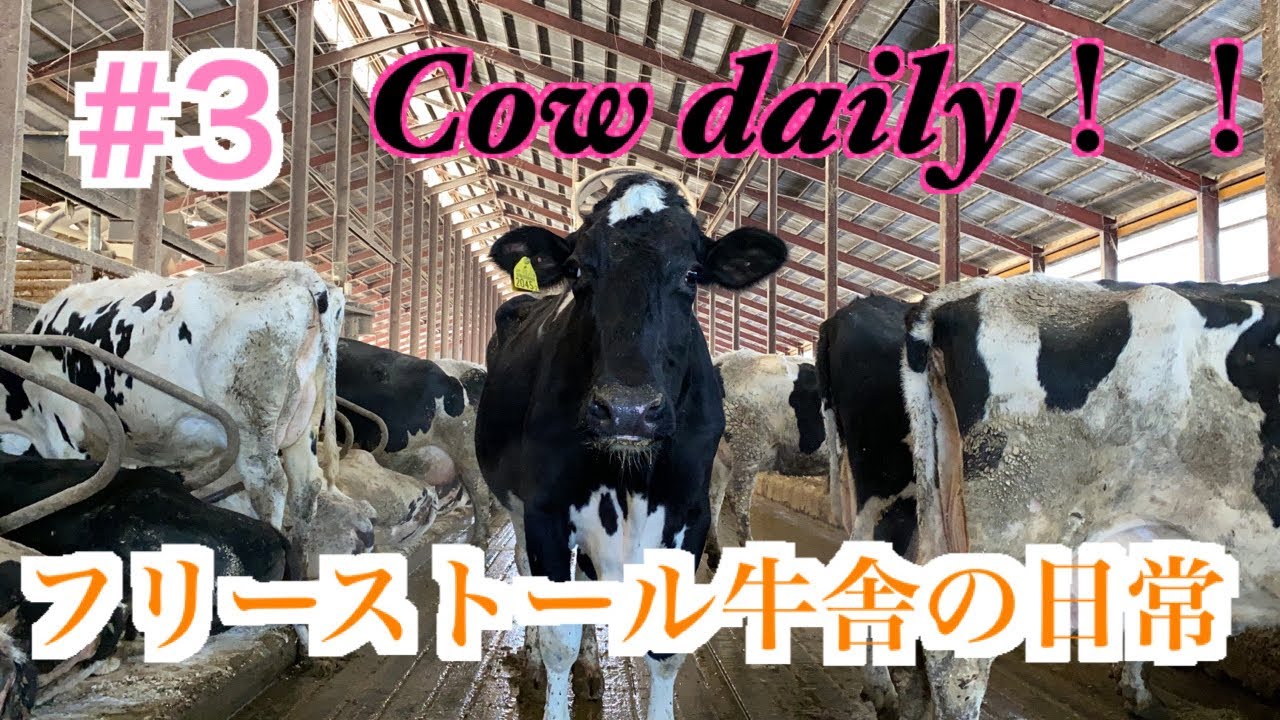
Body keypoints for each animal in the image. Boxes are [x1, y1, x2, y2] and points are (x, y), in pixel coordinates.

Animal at [0, 260, 350, 572]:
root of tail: (300, 273)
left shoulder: (61, 431)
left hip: (253, 425)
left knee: (270, 485)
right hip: (303, 425)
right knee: (306, 486)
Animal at [476, 172, 787, 720]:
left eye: (692, 274)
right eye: (578, 269)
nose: (627, 410)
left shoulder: (689, 514)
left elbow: (664, 647)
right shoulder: (546, 511)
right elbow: (557, 632)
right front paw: (551, 668)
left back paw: (592, 668)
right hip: (516, 506)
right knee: (526, 571)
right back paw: (534, 663)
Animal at [705, 349, 828, 569]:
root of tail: (721, 361)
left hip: (723, 457)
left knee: (715, 496)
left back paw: (714, 555)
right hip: (747, 446)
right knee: (739, 499)